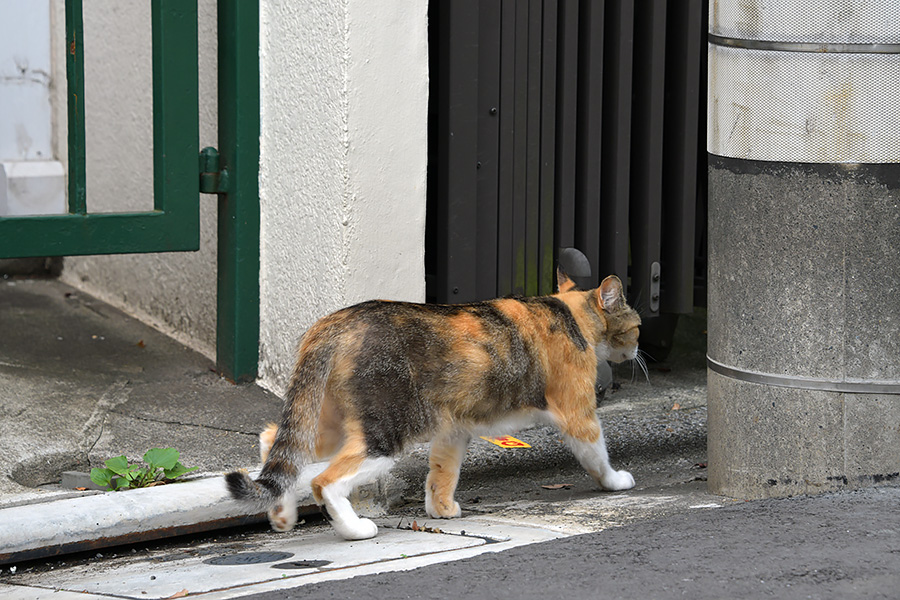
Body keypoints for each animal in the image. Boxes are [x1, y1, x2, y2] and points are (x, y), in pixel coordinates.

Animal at [229, 270, 644, 540]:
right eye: (638, 326)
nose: (639, 348)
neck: (570, 315)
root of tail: (335, 322)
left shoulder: (454, 429)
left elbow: (443, 471)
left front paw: (441, 508)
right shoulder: (578, 414)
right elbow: (597, 454)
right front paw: (615, 482)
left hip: (330, 420)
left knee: (275, 441)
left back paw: (282, 513)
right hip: (385, 430)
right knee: (324, 481)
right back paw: (354, 529)